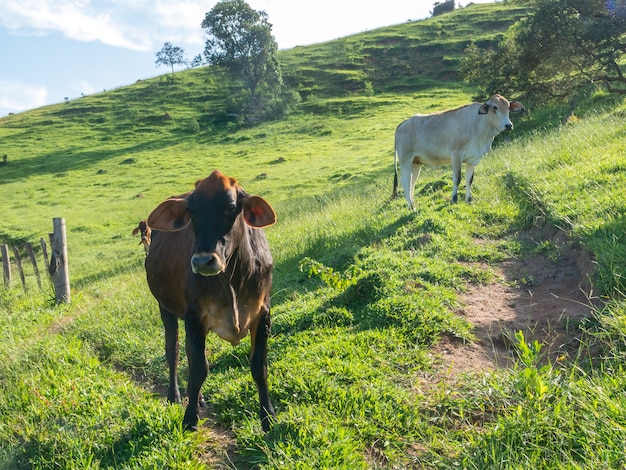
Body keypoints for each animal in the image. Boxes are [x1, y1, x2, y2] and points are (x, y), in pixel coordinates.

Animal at [145, 171, 276, 432]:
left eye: (231, 207)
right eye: (192, 212)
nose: (202, 261)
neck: (232, 279)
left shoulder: (262, 314)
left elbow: (259, 367)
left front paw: (268, 417)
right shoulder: (195, 318)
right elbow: (198, 370)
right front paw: (189, 419)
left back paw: (198, 399)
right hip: (166, 308)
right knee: (173, 351)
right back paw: (175, 395)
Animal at [390, 94, 520, 210]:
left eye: (508, 107)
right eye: (495, 107)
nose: (508, 125)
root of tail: (404, 123)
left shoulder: (473, 159)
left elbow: (469, 180)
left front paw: (468, 199)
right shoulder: (456, 155)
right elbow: (457, 179)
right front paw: (454, 199)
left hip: (416, 162)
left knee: (412, 182)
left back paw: (412, 204)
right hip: (405, 160)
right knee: (405, 182)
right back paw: (411, 207)